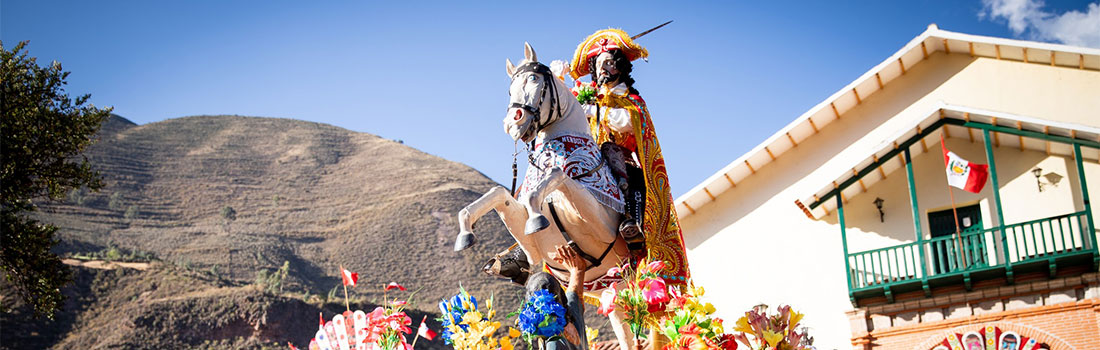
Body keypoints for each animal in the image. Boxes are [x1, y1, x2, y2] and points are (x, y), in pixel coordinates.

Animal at [455, 42, 642, 347]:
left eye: (534, 79)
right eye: (510, 89)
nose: (512, 123)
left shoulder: (598, 224)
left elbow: (558, 177)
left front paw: (536, 214)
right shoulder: (533, 248)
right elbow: (498, 194)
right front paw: (465, 232)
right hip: (611, 287)